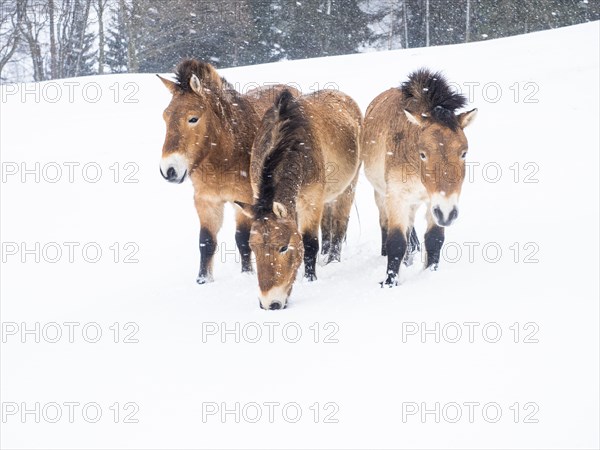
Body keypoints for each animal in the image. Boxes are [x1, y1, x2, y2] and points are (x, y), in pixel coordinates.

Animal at [159, 59, 300, 284]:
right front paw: (203, 280)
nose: (169, 170)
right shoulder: (206, 201)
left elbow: (242, 239)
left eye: (193, 118)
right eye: (165, 117)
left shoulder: (244, 201)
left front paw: (247, 273)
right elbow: (206, 242)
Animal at [360, 69, 478, 288]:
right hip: (381, 195)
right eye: (423, 154)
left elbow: (434, 239)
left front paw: (430, 273)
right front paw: (389, 282)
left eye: (464, 153)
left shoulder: (436, 202)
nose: (448, 214)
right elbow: (396, 241)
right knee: (385, 224)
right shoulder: (397, 197)